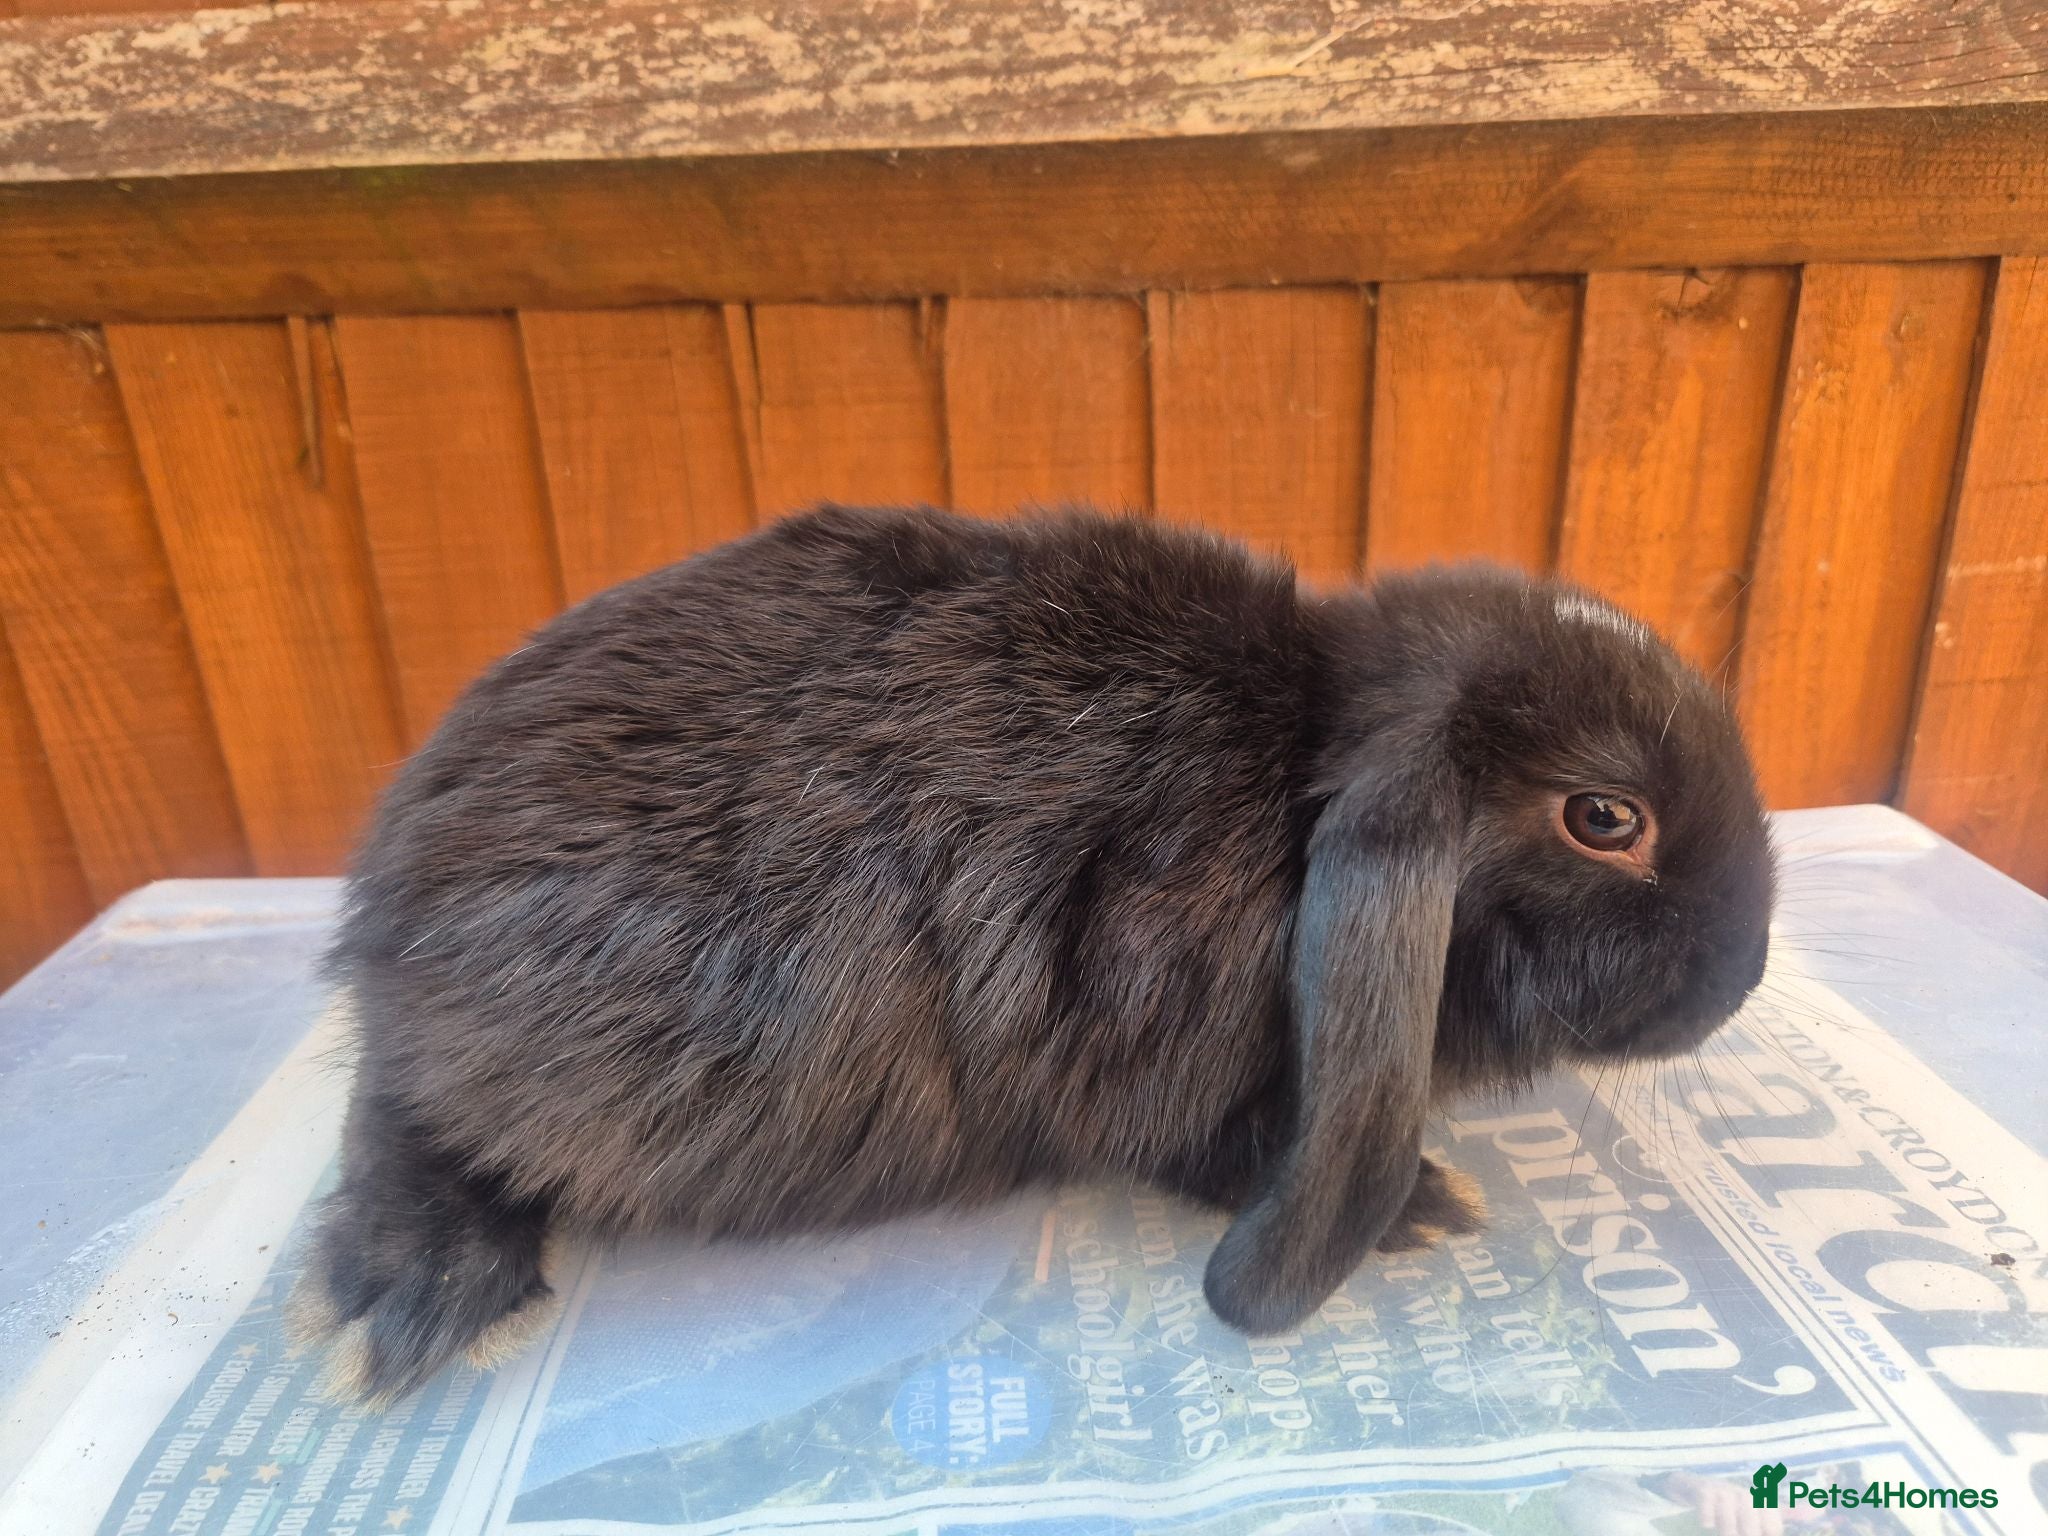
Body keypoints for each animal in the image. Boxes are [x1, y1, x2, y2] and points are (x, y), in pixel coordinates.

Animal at [289, 502, 1775, 1405]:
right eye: (1605, 819)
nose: (1745, 975)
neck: (1296, 783)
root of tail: (387, 903)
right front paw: (1421, 1205)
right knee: (404, 1113)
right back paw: (420, 1285)